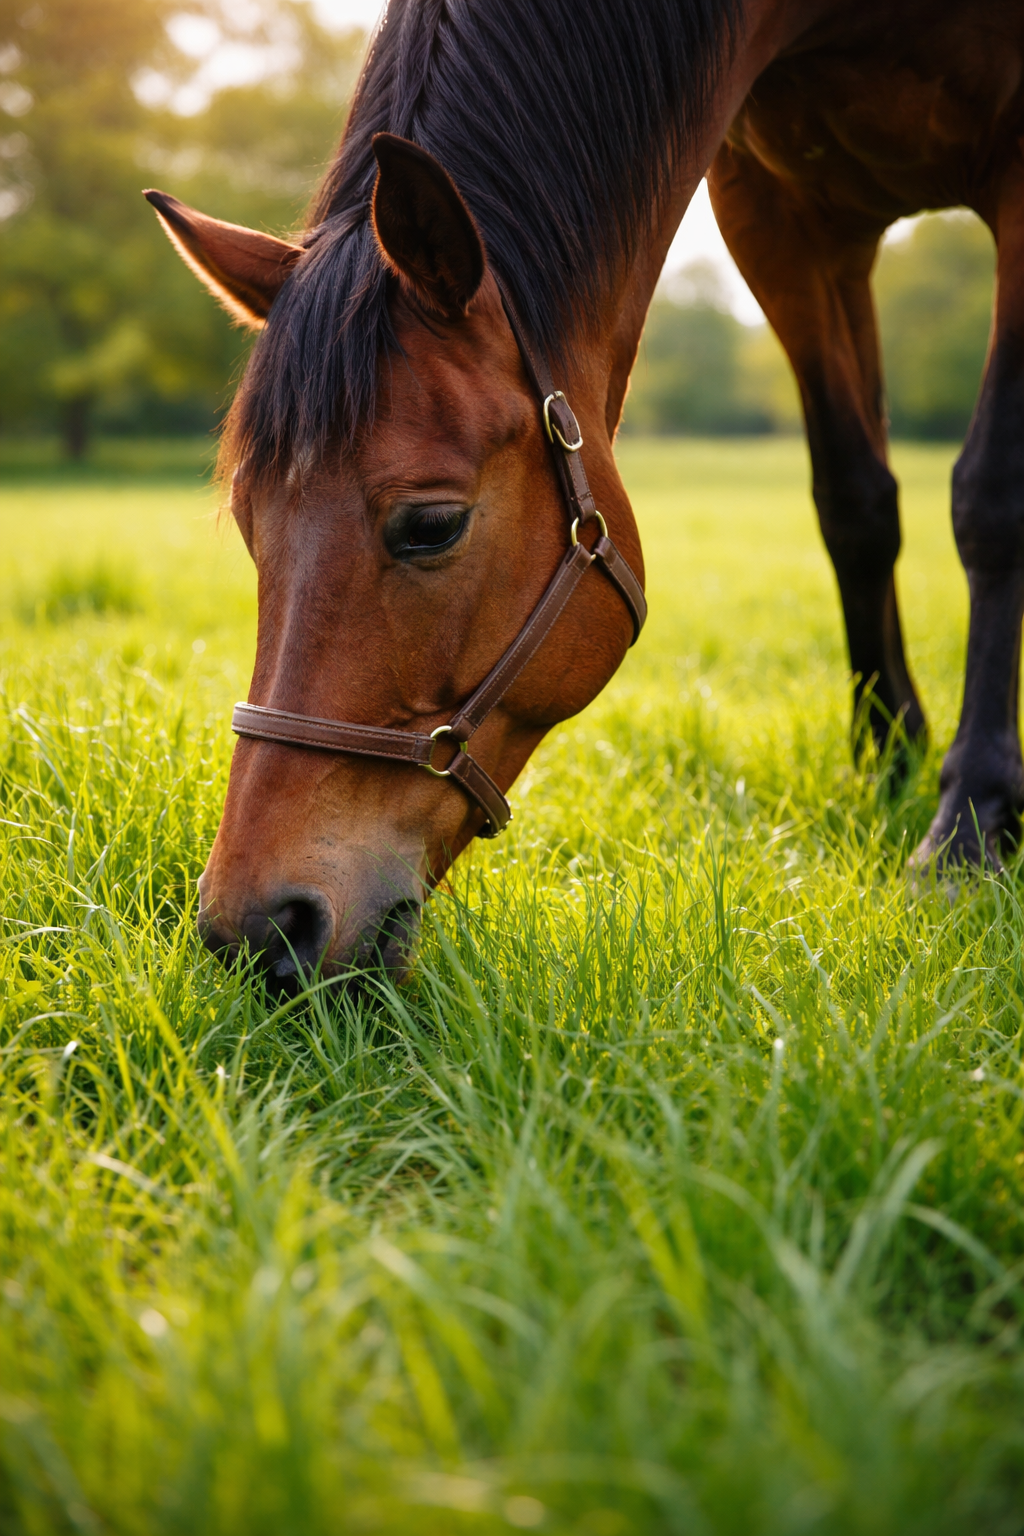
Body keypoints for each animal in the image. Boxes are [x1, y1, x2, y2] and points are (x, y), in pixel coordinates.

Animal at [145, 0, 1024, 990]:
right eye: (249, 527)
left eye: (432, 524)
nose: (256, 929)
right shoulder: (783, 215)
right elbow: (855, 505)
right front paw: (890, 762)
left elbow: (991, 499)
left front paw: (968, 826)